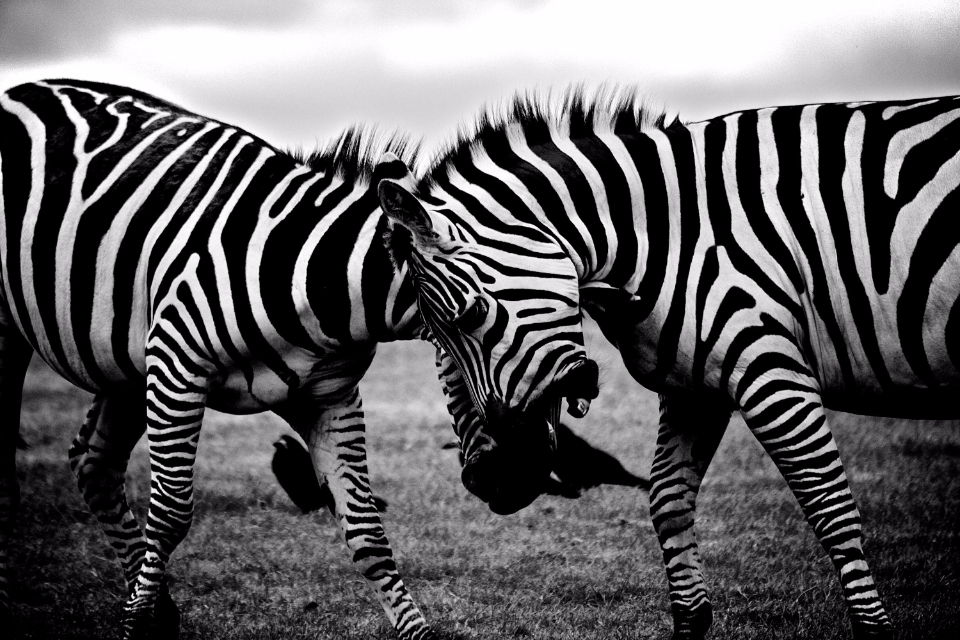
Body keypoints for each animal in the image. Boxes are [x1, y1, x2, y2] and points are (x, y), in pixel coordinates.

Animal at [0, 78, 468, 640]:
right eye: (475, 319)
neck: (317, 276)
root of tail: (21, 89)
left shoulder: (327, 396)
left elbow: (365, 527)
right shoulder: (176, 365)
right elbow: (170, 514)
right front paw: (133, 626)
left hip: (128, 361)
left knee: (94, 463)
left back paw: (158, 611)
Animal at [371, 88, 960, 639]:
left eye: (470, 315)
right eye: (432, 339)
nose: (492, 482)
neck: (671, 234)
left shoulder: (770, 369)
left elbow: (830, 507)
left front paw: (874, 630)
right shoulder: (694, 386)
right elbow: (667, 500)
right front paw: (690, 619)